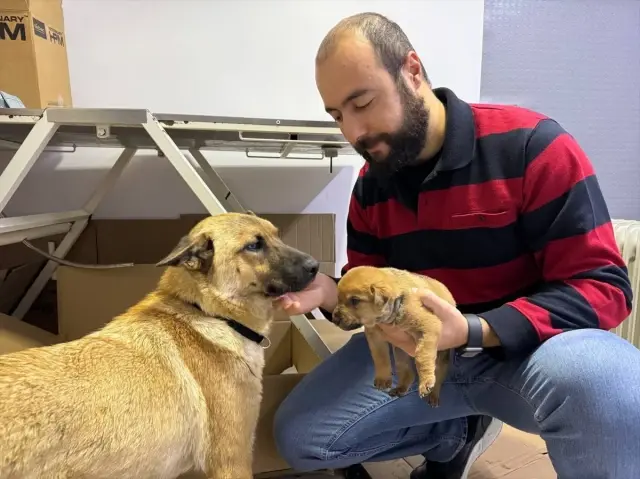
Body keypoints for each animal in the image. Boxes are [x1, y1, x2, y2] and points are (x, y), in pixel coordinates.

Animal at [330, 264, 456, 406]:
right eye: (338, 298)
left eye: (355, 300)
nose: (334, 319)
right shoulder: (375, 337)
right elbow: (380, 357)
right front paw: (383, 379)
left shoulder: (429, 327)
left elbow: (422, 356)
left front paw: (425, 382)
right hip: (400, 352)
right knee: (406, 371)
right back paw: (400, 388)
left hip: (441, 357)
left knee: (439, 375)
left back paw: (434, 395)